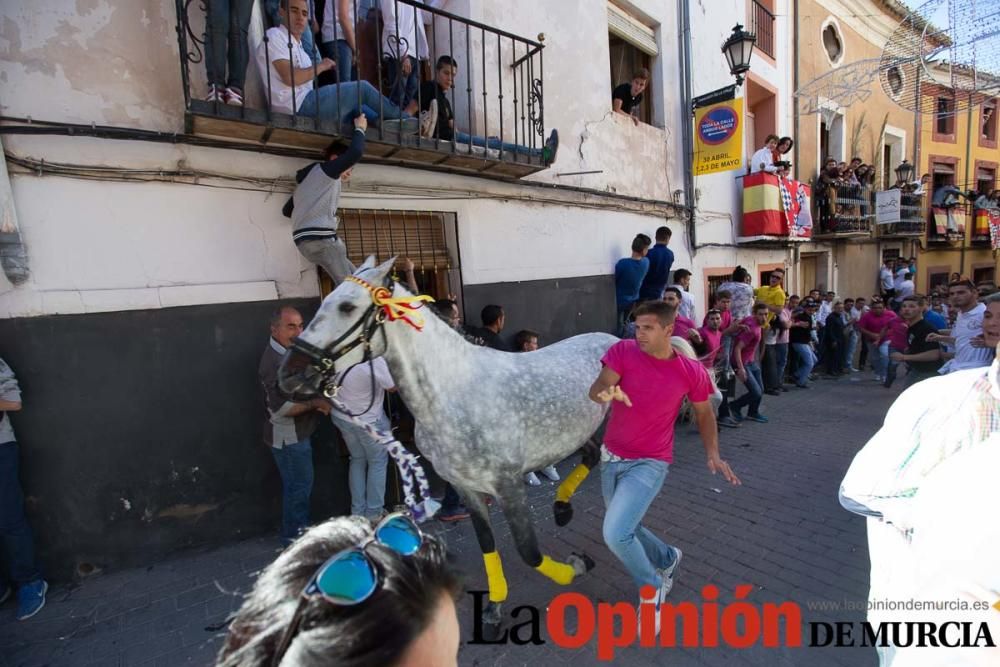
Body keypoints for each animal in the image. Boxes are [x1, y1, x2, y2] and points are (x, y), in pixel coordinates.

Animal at [278, 258, 704, 636]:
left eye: (347, 306)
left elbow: (530, 553)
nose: (290, 375)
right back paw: (562, 508)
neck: (453, 393)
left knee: (597, 460)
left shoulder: (508, 484)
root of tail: (620, 339)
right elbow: (488, 545)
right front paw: (495, 609)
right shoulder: (466, 487)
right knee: (587, 456)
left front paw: (577, 565)